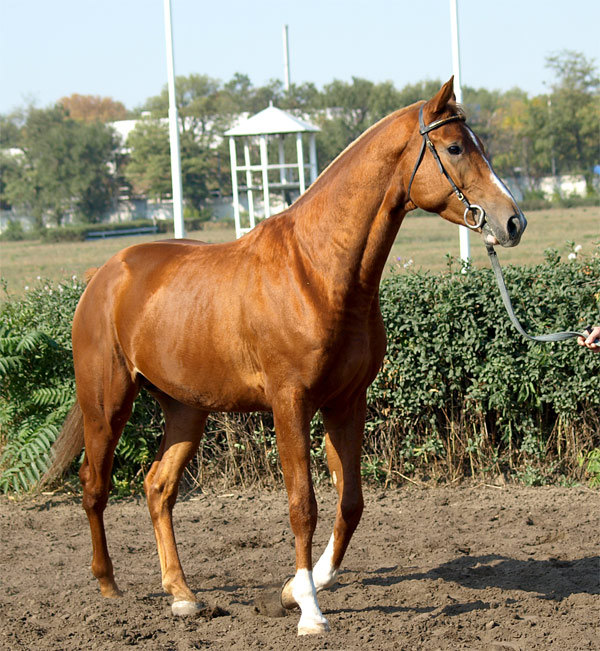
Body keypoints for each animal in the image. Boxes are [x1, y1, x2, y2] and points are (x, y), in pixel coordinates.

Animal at [49, 79, 524, 636]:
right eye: (454, 148)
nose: (512, 221)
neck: (316, 272)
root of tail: (105, 274)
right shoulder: (289, 404)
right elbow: (303, 505)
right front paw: (310, 613)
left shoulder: (346, 402)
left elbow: (351, 503)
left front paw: (294, 590)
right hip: (107, 404)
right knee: (94, 485)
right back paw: (108, 586)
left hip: (186, 409)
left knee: (158, 488)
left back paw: (183, 595)